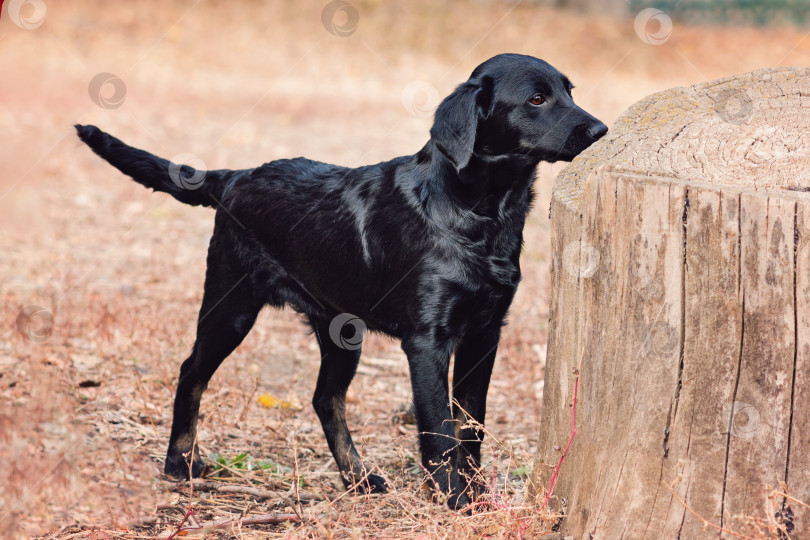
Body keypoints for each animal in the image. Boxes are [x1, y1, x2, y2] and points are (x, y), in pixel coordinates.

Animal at [77, 52, 608, 508]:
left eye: (569, 91)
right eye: (536, 99)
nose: (601, 129)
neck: (478, 213)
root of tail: (234, 176)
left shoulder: (485, 333)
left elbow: (470, 424)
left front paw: (476, 495)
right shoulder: (427, 340)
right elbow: (439, 430)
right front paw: (455, 501)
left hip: (340, 331)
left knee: (324, 399)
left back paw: (358, 478)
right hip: (231, 307)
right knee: (191, 373)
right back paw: (180, 462)